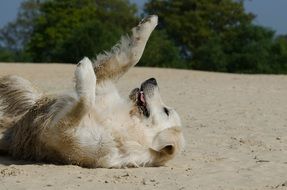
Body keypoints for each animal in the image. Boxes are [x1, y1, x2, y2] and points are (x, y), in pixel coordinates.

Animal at [0, 15, 184, 168]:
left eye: (166, 111)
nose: (153, 79)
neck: (128, 122)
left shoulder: (61, 133)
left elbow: (85, 102)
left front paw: (85, 68)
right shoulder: (104, 84)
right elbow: (131, 56)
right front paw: (149, 23)